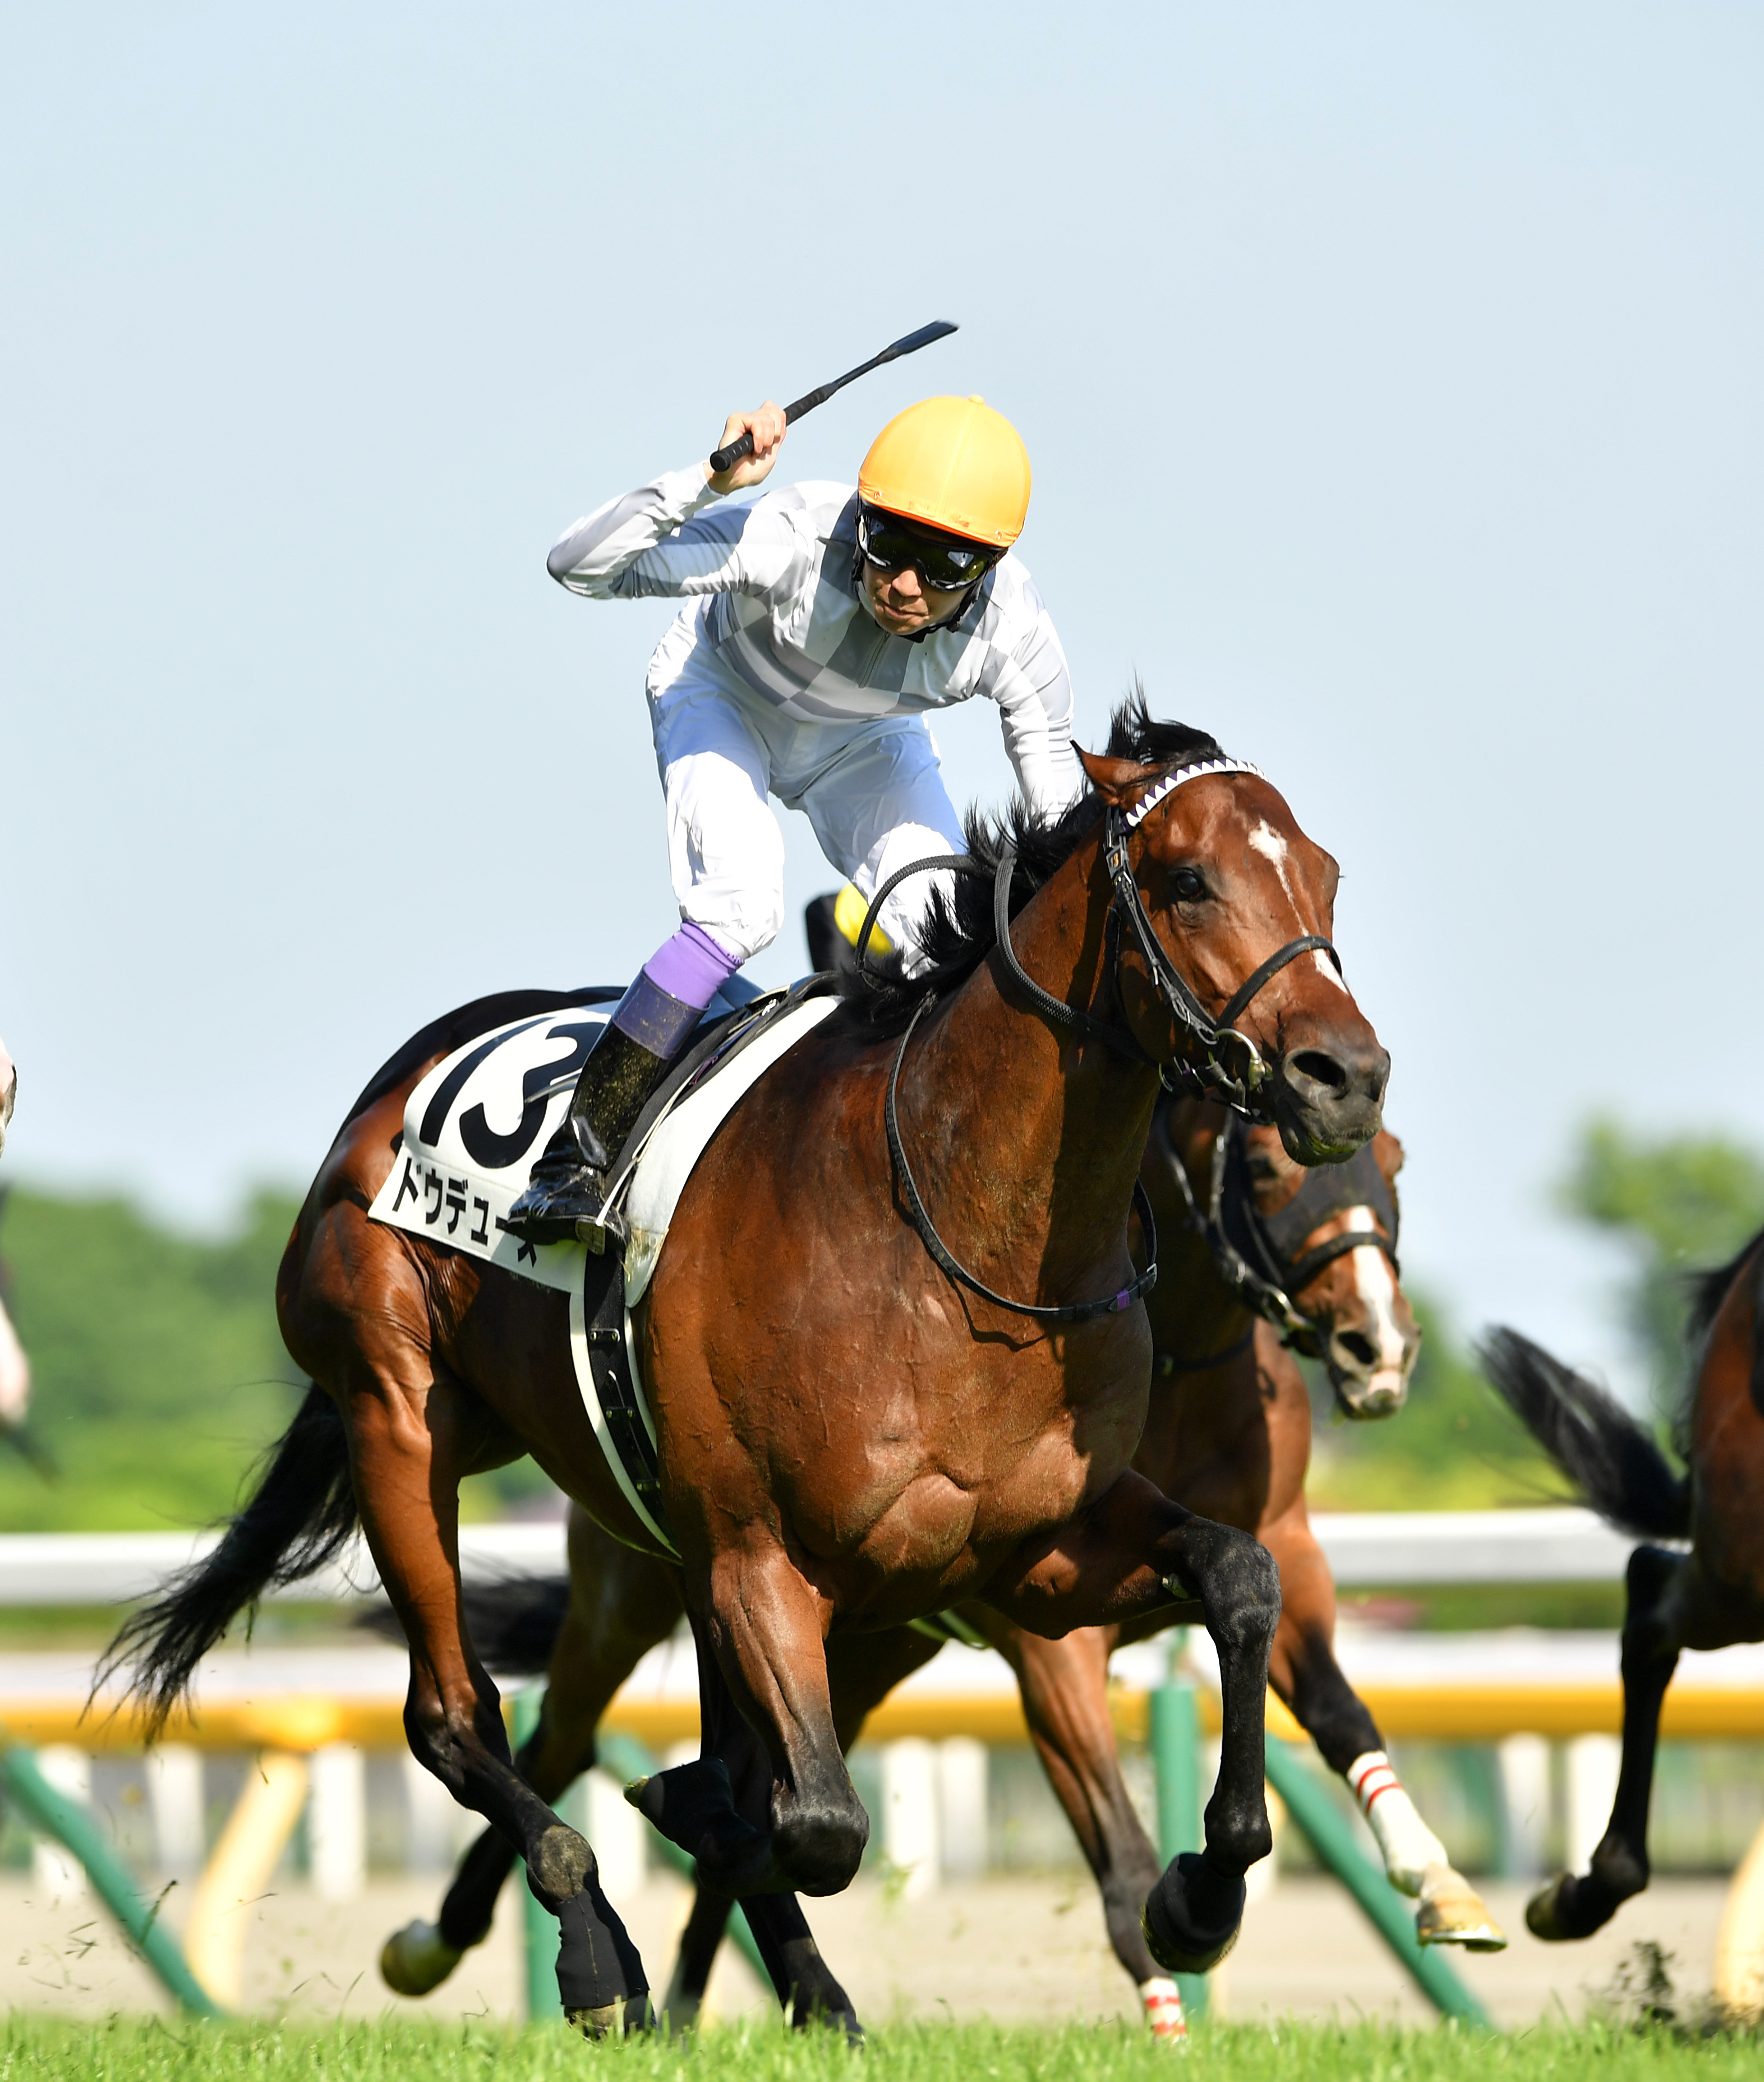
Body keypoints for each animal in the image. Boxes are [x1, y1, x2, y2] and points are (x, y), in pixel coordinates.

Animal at [103, 703, 1383, 2032]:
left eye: (1324, 872)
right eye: (1188, 880)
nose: (1345, 1072)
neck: (957, 1234)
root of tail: (395, 1084)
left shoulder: (1035, 1550)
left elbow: (1238, 1576)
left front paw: (1203, 1890)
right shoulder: (765, 1555)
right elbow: (812, 1819)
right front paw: (677, 1842)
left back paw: (796, 1987)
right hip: (403, 1418)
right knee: (462, 1716)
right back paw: (582, 1947)